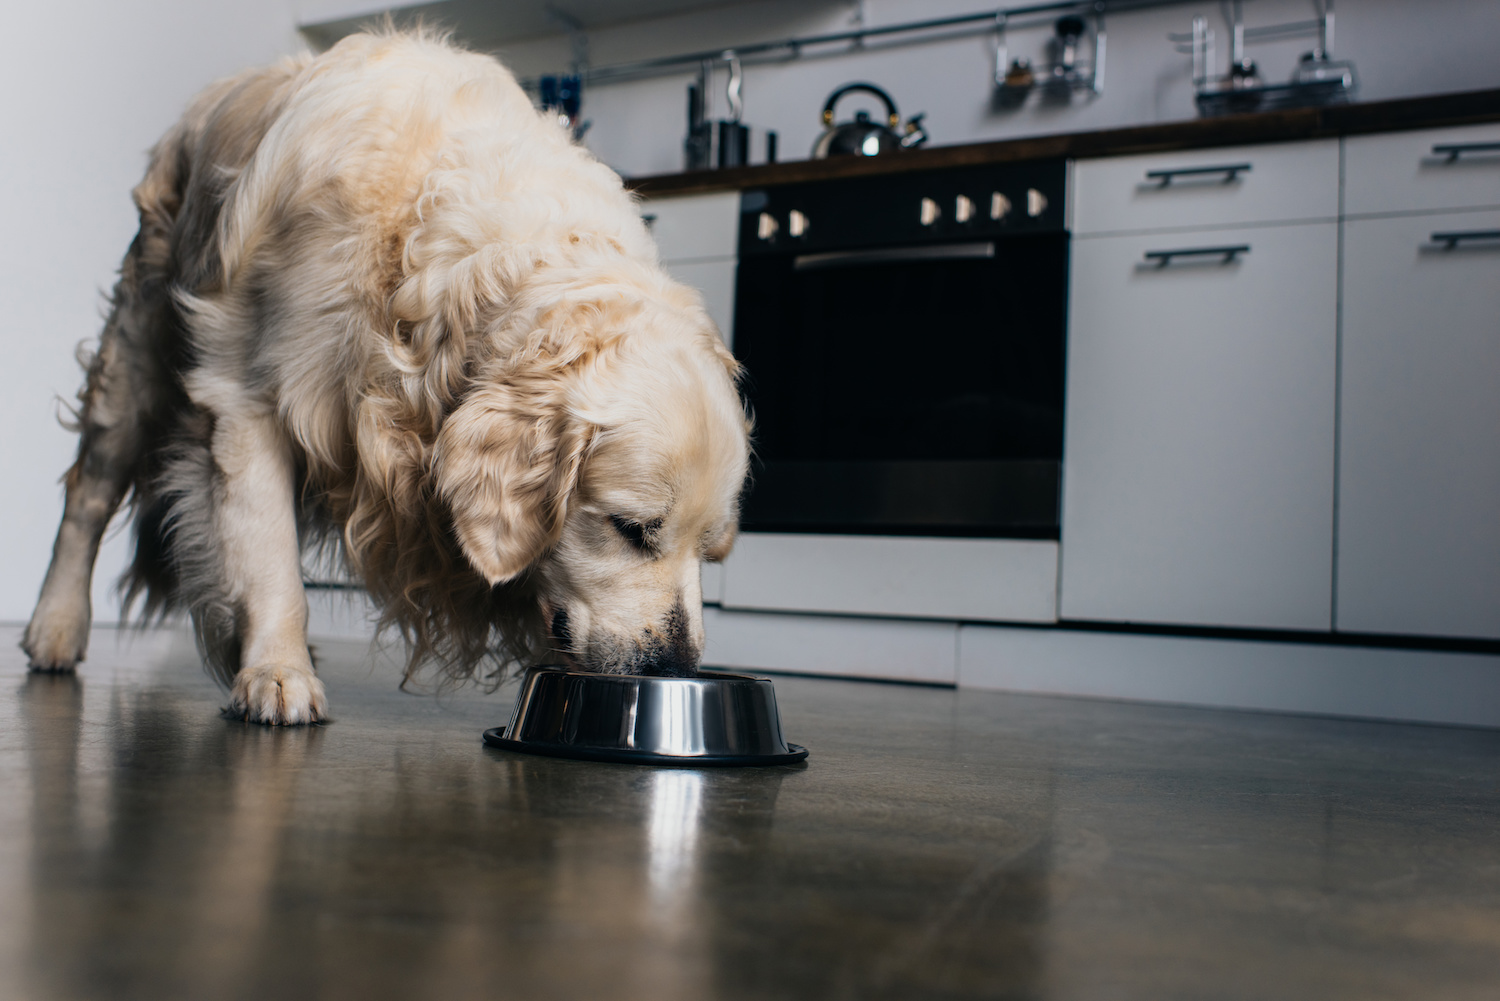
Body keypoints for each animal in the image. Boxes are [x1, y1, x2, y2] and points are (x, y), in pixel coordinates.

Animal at [23, 27, 750, 723]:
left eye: (711, 549)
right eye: (631, 528)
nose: (675, 669)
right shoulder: (248, 394)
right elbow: (269, 555)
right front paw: (277, 672)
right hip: (136, 350)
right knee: (88, 495)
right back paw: (55, 627)